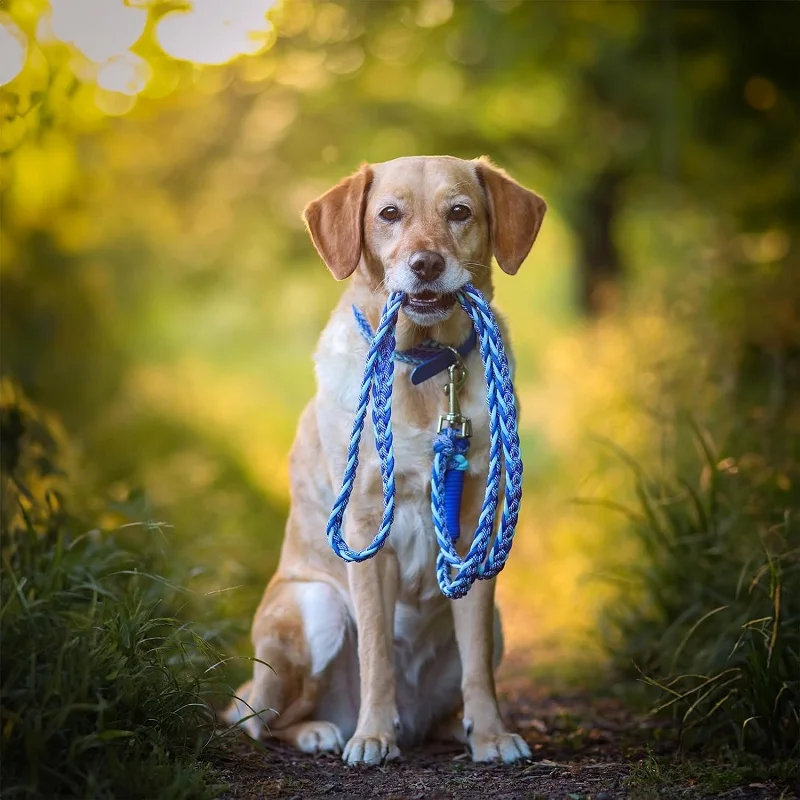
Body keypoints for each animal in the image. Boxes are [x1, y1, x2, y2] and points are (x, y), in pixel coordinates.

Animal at [228, 155, 548, 764]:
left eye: (459, 212)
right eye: (389, 214)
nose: (426, 265)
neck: (424, 363)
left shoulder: (472, 527)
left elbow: (476, 665)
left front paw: (491, 734)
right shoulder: (364, 529)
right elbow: (376, 652)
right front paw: (373, 735)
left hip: (493, 624)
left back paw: (454, 727)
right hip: (314, 608)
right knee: (263, 719)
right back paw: (325, 731)